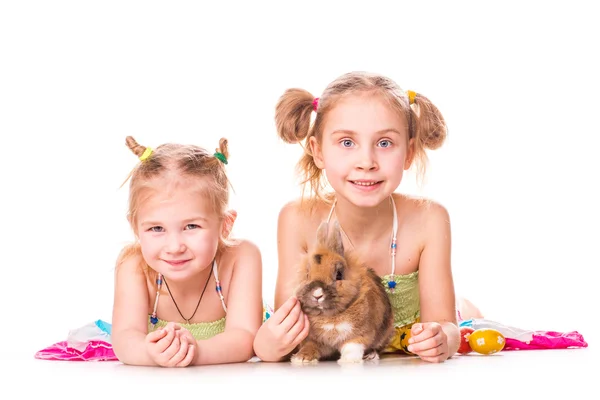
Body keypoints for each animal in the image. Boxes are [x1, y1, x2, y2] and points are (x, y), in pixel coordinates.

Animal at [290, 220, 394, 364]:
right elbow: (310, 346)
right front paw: (301, 358)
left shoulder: (359, 334)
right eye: (307, 274)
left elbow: (352, 346)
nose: (317, 294)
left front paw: (348, 360)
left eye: (339, 275)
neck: (330, 316)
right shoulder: (314, 340)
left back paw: (371, 355)